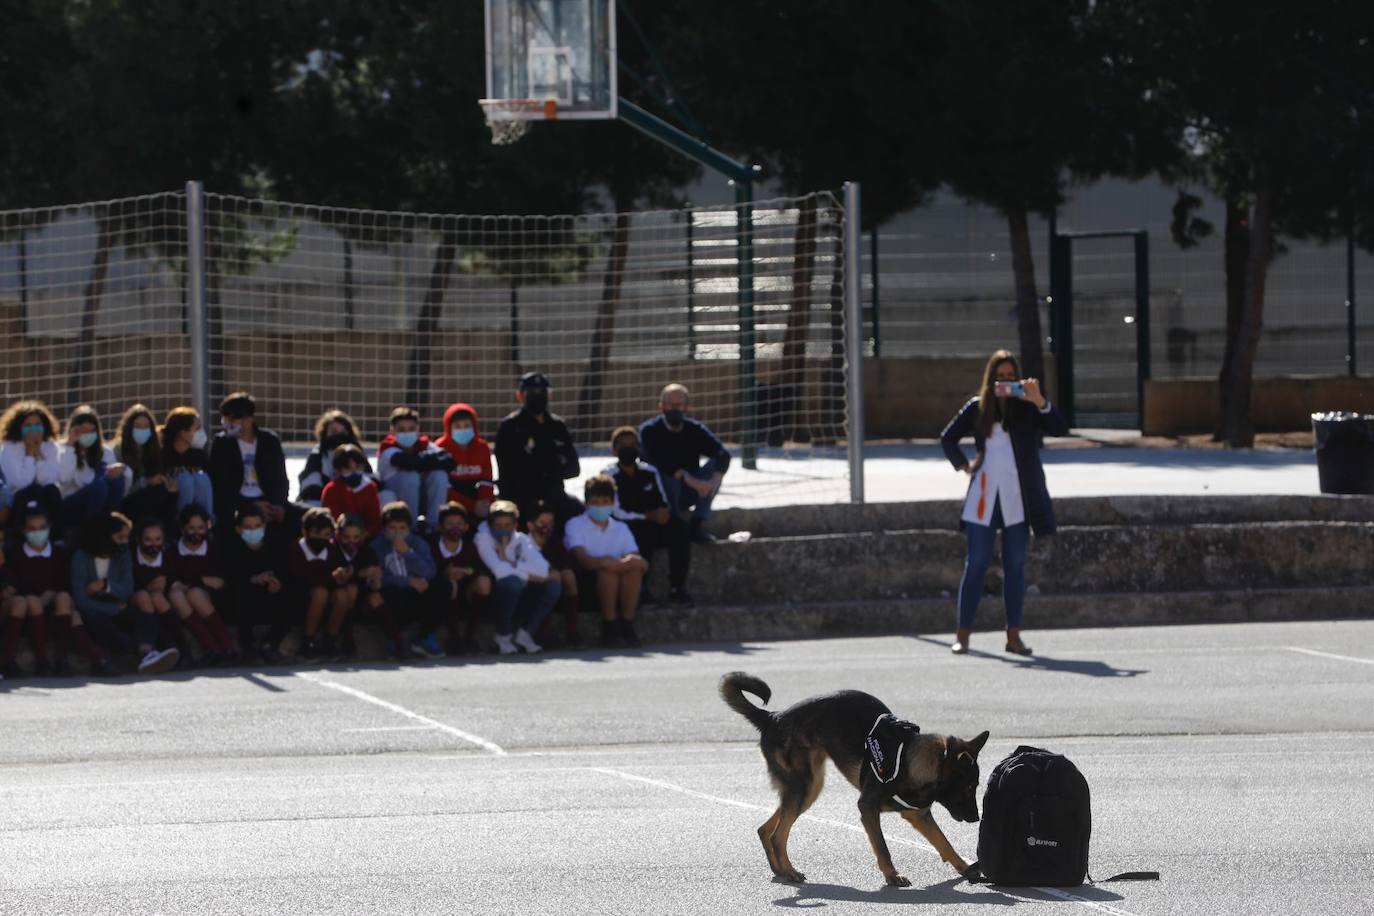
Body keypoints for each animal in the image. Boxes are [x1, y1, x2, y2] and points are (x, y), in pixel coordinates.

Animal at [719, 672, 989, 889]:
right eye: (968, 788)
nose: (976, 818)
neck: (910, 758)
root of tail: (772, 717)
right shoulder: (868, 808)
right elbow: (882, 846)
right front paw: (892, 876)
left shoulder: (918, 815)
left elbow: (945, 843)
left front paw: (965, 868)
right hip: (803, 788)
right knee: (777, 835)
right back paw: (789, 871)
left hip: (808, 789)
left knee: (766, 829)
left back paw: (779, 868)